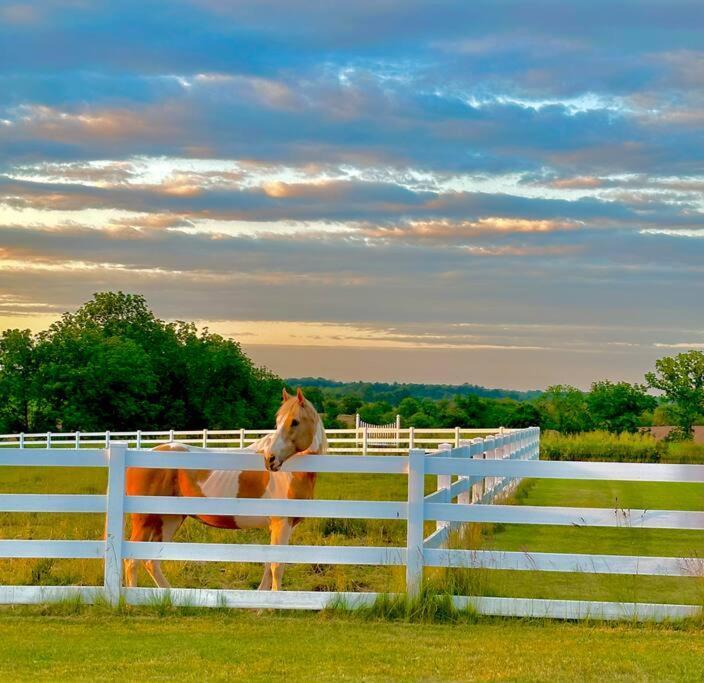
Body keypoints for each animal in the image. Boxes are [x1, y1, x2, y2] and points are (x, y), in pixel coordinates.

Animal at [124, 390, 328, 592]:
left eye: (295, 421)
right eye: (278, 422)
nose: (270, 459)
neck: (291, 473)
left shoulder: (285, 526)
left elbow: (269, 567)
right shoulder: (281, 523)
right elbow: (276, 567)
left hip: (168, 520)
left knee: (151, 561)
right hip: (144, 520)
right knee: (132, 561)